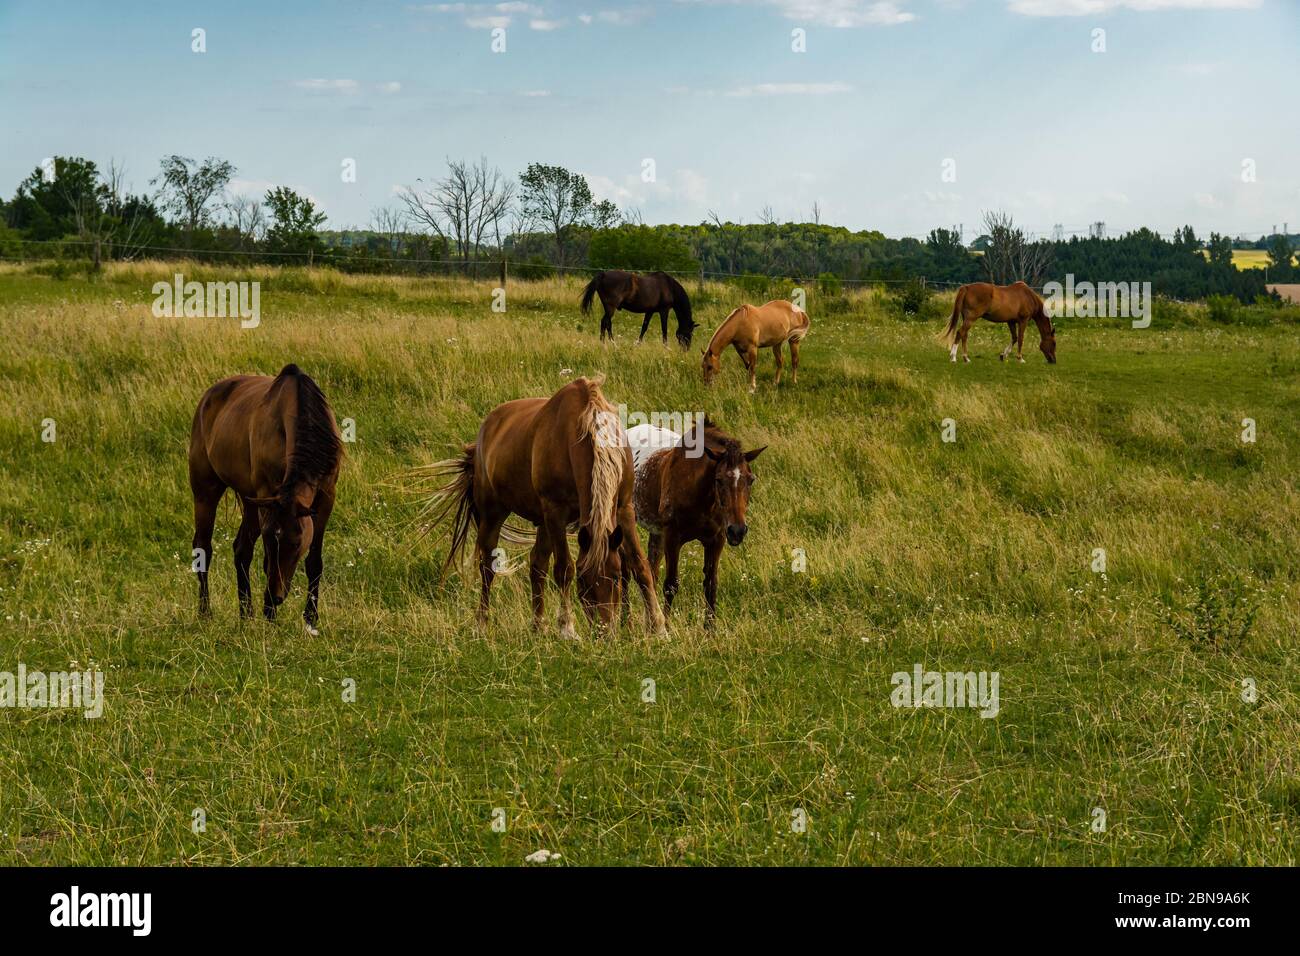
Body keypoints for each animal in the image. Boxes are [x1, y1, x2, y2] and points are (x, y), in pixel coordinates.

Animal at [188, 364, 343, 633]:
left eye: (296, 543)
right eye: (272, 541)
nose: (276, 596)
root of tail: (207, 398)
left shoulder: (325, 498)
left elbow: (314, 562)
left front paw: (311, 618)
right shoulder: (267, 497)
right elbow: (265, 561)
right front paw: (270, 614)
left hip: (250, 501)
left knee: (241, 549)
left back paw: (246, 614)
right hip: (206, 492)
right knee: (203, 547)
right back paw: (206, 612)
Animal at [416, 376, 665, 638]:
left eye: (616, 577)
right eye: (584, 581)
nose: (604, 632)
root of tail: (484, 434)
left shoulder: (624, 508)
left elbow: (640, 566)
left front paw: (659, 627)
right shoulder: (556, 512)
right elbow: (564, 569)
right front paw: (567, 628)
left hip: (543, 522)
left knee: (537, 565)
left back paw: (538, 625)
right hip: (495, 514)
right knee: (488, 567)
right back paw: (482, 623)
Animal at [626, 418, 765, 626]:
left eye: (751, 480)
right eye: (718, 480)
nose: (738, 531)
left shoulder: (717, 539)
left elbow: (710, 584)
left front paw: (710, 629)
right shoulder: (673, 538)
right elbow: (671, 585)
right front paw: (667, 626)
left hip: (656, 533)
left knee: (650, 572)